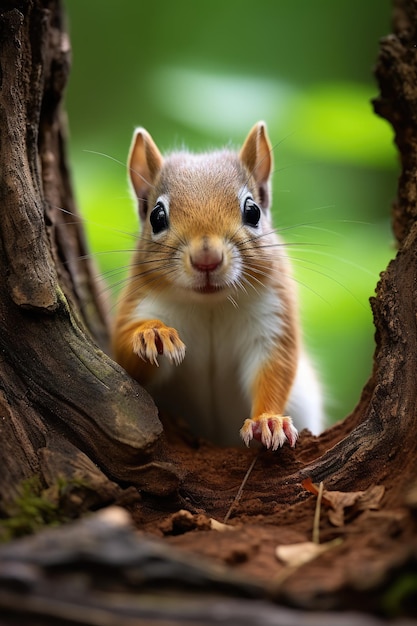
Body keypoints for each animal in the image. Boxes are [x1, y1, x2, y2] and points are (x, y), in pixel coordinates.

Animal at [110, 120, 322, 448]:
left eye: (253, 211)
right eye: (156, 216)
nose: (206, 259)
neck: (210, 304)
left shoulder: (271, 317)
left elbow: (275, 369)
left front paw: (268, 420)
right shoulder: (141, 302)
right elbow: (124, 357)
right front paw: (153, 333)